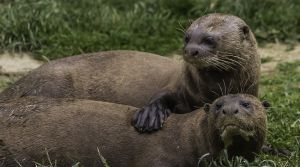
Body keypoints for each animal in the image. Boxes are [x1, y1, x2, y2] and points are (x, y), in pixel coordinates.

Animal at [0, 13, 260, 132]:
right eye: (187, 37)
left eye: (209, 39)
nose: (190, 50)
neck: (210, 91)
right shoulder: (178, 85)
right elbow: (161, 96)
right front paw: (149, 116)